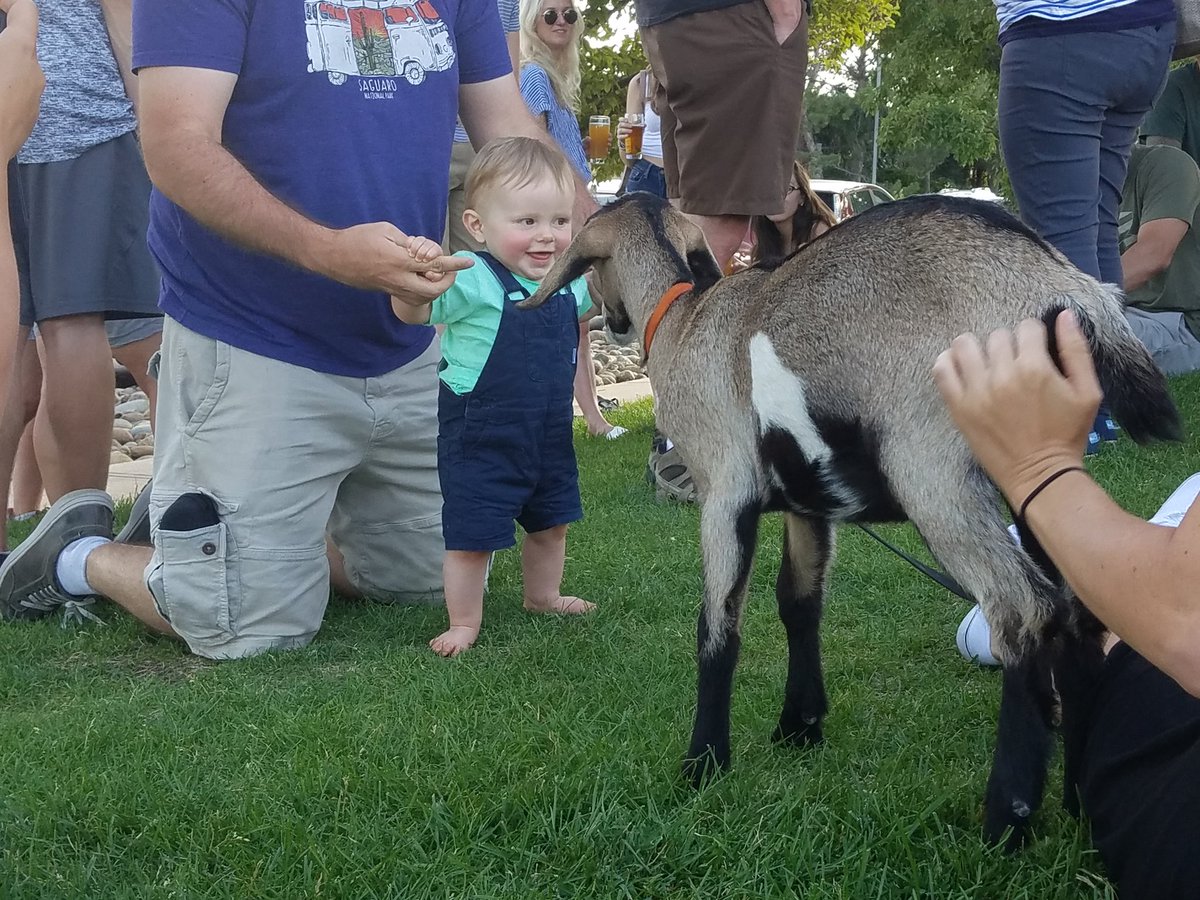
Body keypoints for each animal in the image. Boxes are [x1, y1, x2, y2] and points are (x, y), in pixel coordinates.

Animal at [519, 192, 1183, 849]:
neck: (688, 319)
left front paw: (703, 763)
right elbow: (798, 602)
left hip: (934, 472)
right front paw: (800, 727)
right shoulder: (808, 503)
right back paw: (1077, 802)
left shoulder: (727, 493)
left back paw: (1005, 818)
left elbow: (717, 626)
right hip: (1033, 468)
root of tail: (1065, 287)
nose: (610, 321)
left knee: (1023, 609)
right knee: (1079, 610)